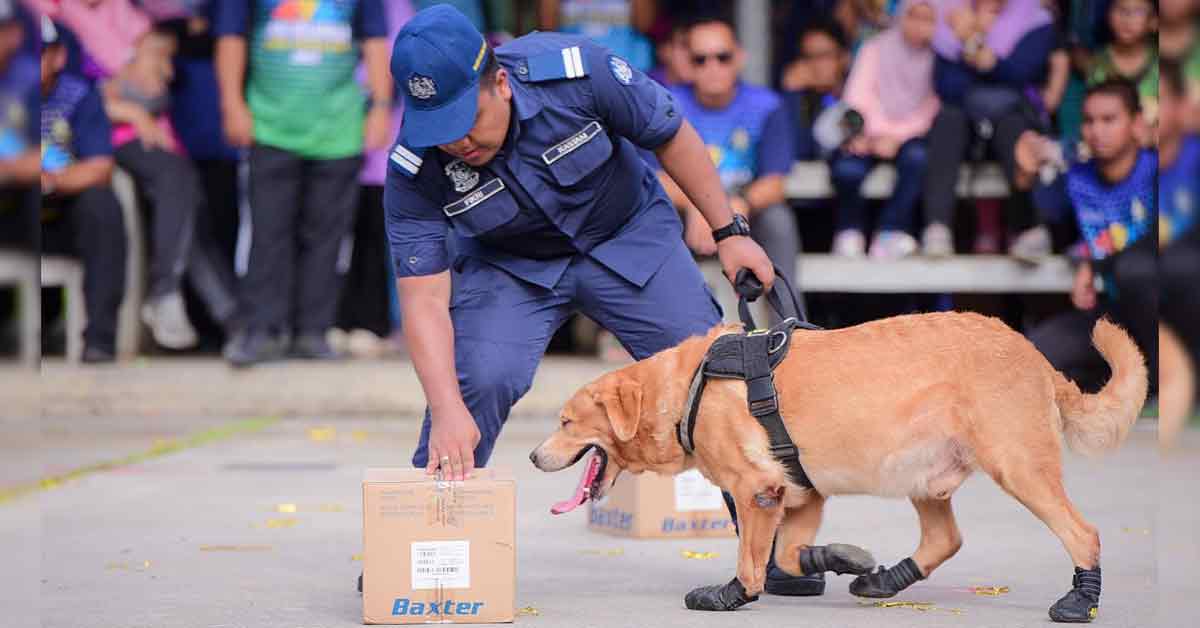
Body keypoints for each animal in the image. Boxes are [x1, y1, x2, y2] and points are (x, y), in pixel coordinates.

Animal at [532, 314, 1142, 624]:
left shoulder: (758, 490)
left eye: (565, 422)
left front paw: (731, 594)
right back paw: (885, 579)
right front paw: (840, 558)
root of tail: (1036, 356)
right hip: (922, 473)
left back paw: (1080, 600)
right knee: (945, 539)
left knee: (1082, 532)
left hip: (1018, 466)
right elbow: (788, 554)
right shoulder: (800, 494)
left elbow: (752, 561)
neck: (685, 389)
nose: (536, 457)